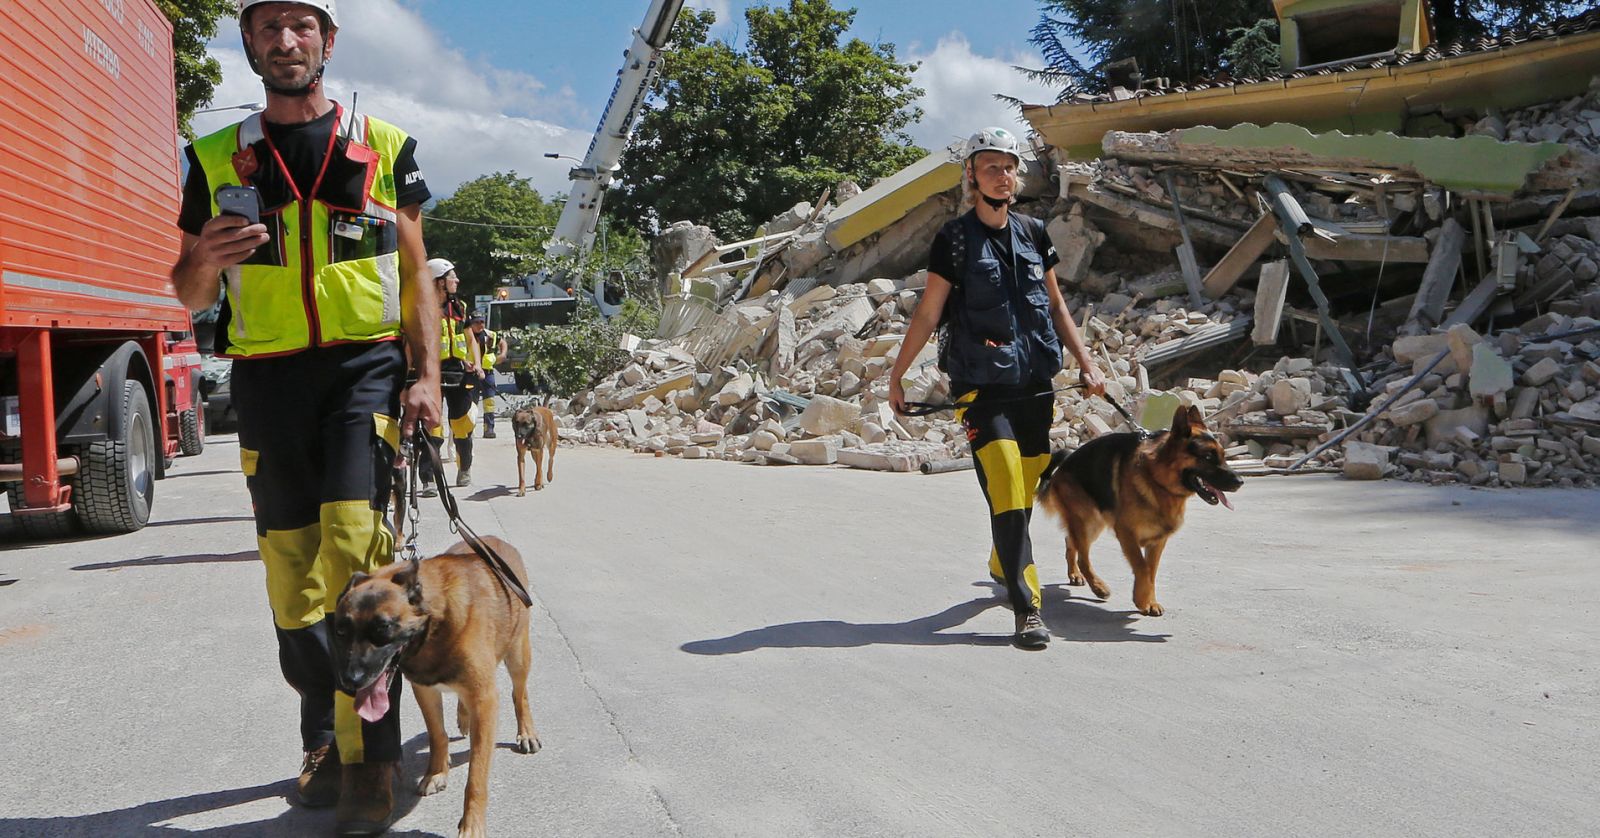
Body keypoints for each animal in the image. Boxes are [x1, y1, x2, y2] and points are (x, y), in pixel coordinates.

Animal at [332, 537, 544, 838]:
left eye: (384, 629)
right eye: (340, 632)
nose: (350, 681)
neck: (434, 625)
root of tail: (496, 540)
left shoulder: (485, 701)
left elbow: (476, 775)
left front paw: (472, 824)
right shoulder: (425, 690)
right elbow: (437, 734)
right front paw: (436, 773)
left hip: (518, 656)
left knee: (520, 694)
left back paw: (526, 732)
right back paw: (464, 717)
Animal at [1030, 406, 1241, 614]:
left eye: (1223, 456)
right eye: (1207, 457)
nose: (1240, 481)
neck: (1156, 479)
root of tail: (1065, 462)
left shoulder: (1157, 541)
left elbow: (1151, 571)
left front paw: (1150, 601)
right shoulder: (1127, 533)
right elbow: (1142, 568)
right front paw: (1141, 600)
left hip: (1093, 524)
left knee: (1070, 541)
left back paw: (1075, 574)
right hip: (1088, 522)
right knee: (1083, 557)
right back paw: (1098, 587)